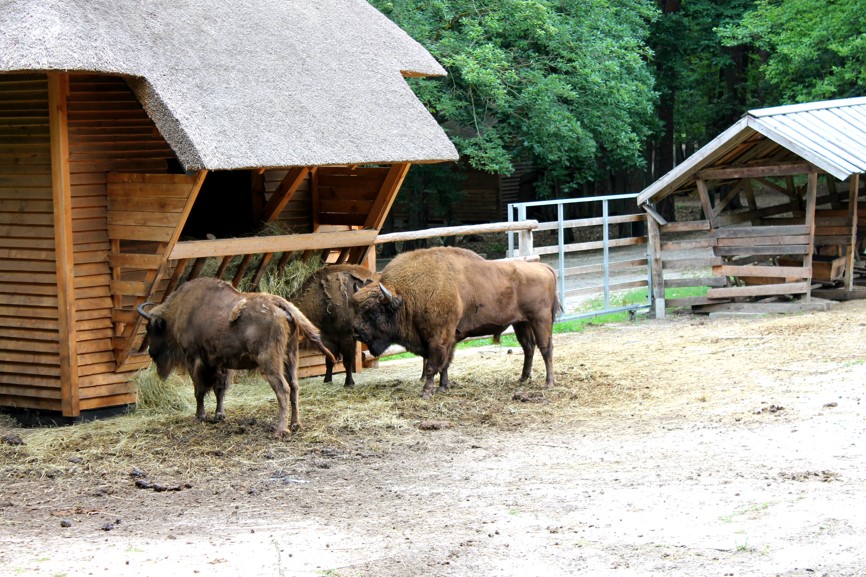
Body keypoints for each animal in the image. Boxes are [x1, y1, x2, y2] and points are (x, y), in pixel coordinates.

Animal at [137, 276, 336, 434]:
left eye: (151, 329)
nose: (150, 352)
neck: (181, 310)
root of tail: (279, 304)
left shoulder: (194, 359)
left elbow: (199, 390)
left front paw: (200, 416)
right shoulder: (220, 363)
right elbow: (219, 389)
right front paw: (219, 415)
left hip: (270, 361)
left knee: (283, 389)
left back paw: (281, 430)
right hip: (291, 357)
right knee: (294, 386)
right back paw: (296, 425)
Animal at [352, 245, 560, 398]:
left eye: (373, 312)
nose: (357, 333)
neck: (406, 296)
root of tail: (544, 268)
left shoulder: (438, 338)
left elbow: (432, 365)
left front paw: (426, 392)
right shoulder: (447, 338)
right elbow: (444, 364)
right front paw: (443, 386)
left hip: (540, 319)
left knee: (545, 348)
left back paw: (549, 383)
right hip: (521, 323)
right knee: (528, 348)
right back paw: (522, 379)